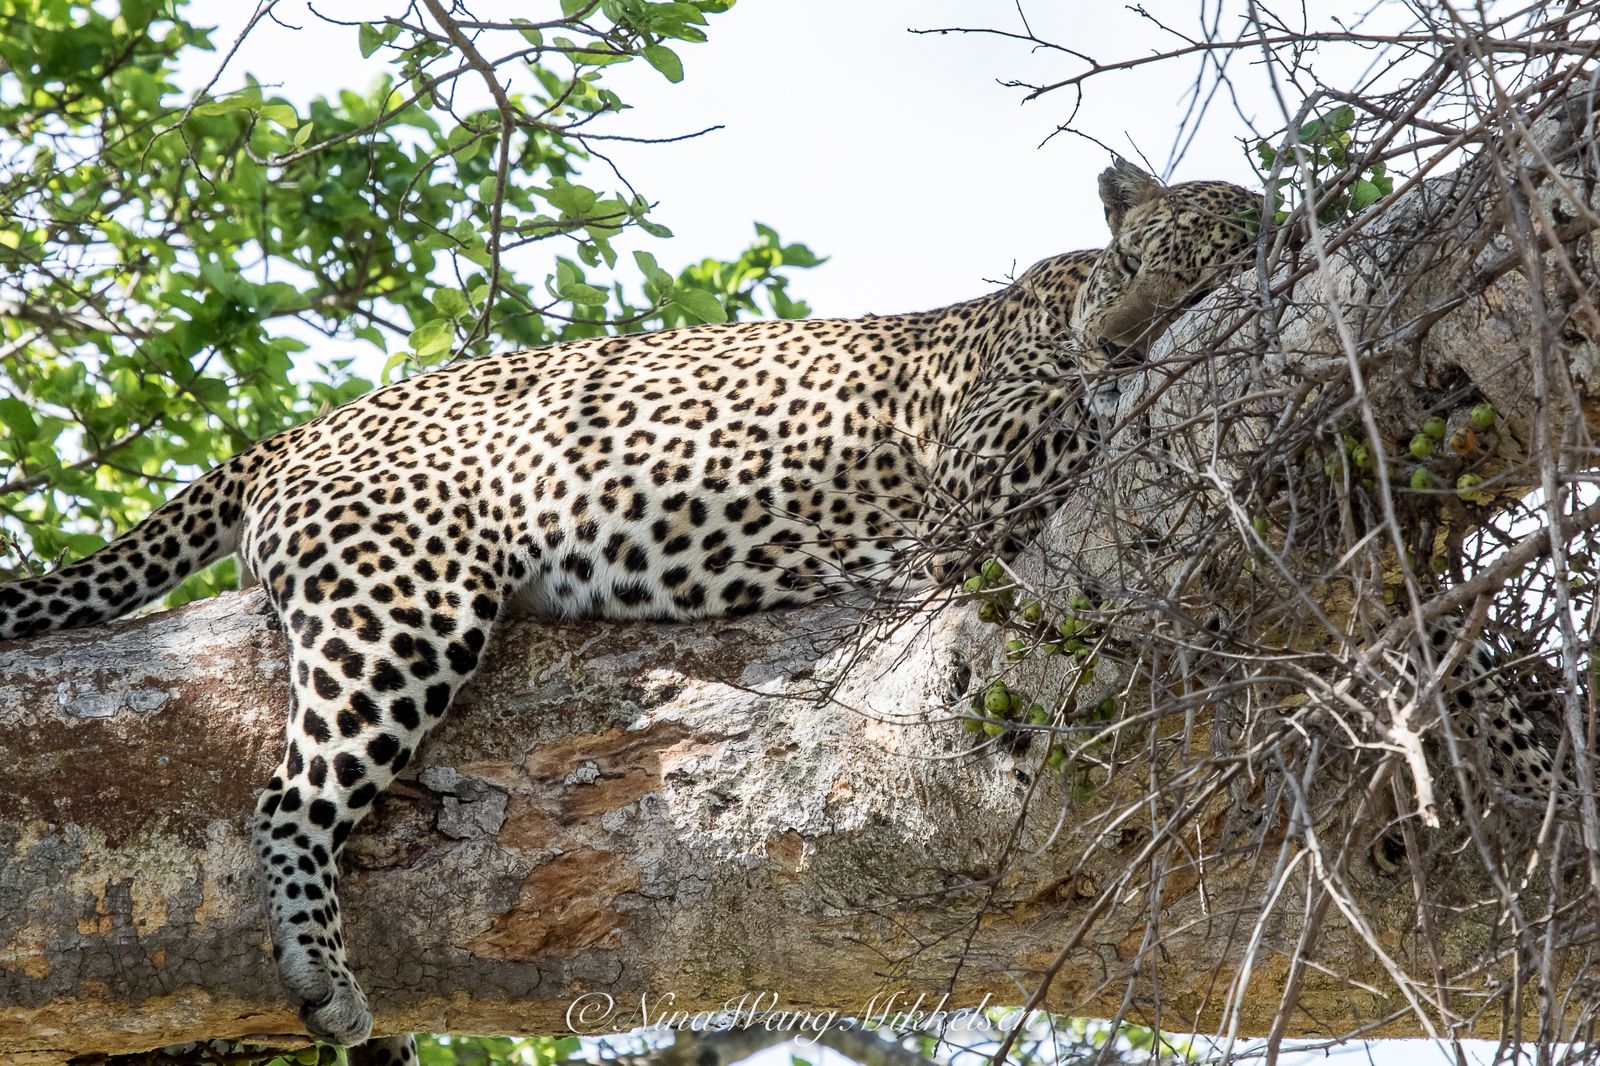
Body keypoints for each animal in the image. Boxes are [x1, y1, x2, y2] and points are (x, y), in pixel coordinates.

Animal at [0, 159, 1256, 1055]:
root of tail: (301, 428)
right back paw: (322, 973)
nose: (1117, 340)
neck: (1062, 298)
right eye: (1128, 261)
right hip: (407, 592)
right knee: (288, 795)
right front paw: (1112, 381)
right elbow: (1079, 422)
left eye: (1195, 281)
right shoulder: (978, 472)